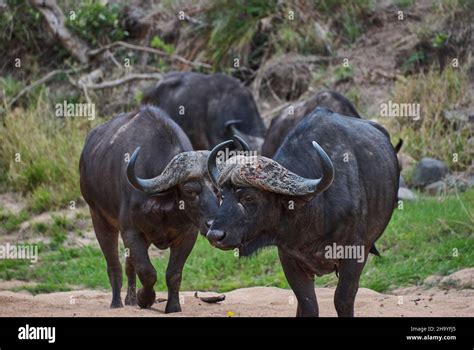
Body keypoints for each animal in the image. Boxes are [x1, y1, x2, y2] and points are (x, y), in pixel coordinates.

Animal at [78, 106, 244, 312]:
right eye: (189, 190)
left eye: (219, 190)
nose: (214, 227)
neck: (165, 209)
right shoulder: (131, 232)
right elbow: (147, 271)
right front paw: (145, 299)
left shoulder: (188, 235)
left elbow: (173, 273)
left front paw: (172, 306)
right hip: (99, 217)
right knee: (114, 264)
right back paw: (117, 303)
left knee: (128, 265)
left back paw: (130, 300)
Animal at [206, 107, 398, 318]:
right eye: (221, 195)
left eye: (249, 197)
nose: (214, 235)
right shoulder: (289, 258)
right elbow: (307, 304)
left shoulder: (355, 253)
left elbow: (343, 299)